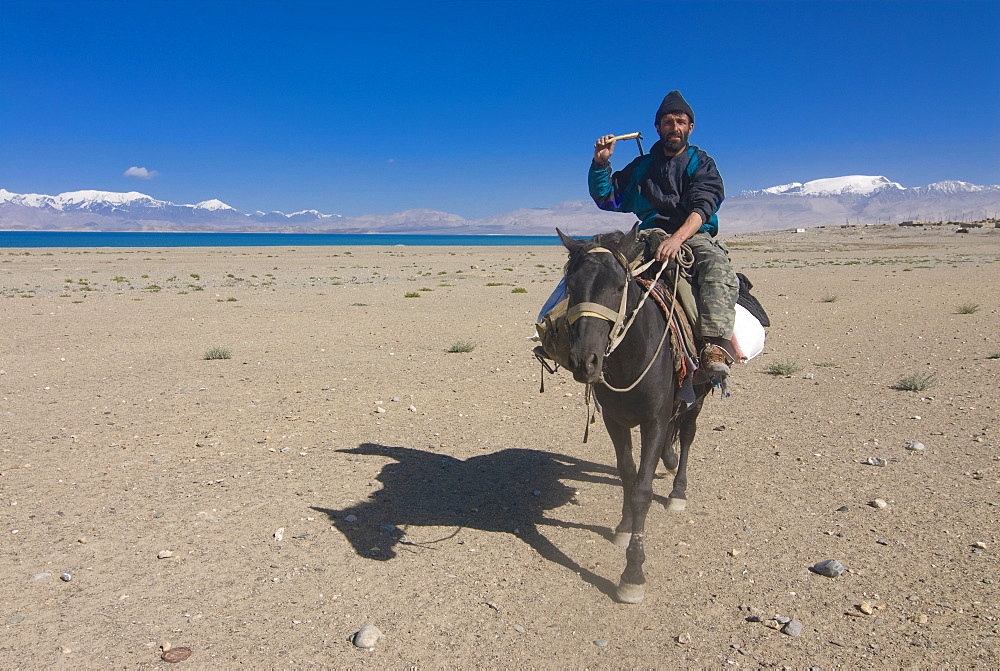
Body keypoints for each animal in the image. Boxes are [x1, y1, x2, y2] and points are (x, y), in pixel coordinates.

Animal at [556, 223, 712, 608]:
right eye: (571, 286)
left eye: (617, 286)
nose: (585, 362)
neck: (630, 358)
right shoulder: (614, 420)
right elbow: (627, 474)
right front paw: (625, 528)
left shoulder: (652, 421)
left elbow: (641, 490)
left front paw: (632, 575)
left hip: (698, 396)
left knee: (687, 436)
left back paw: (678, 491)